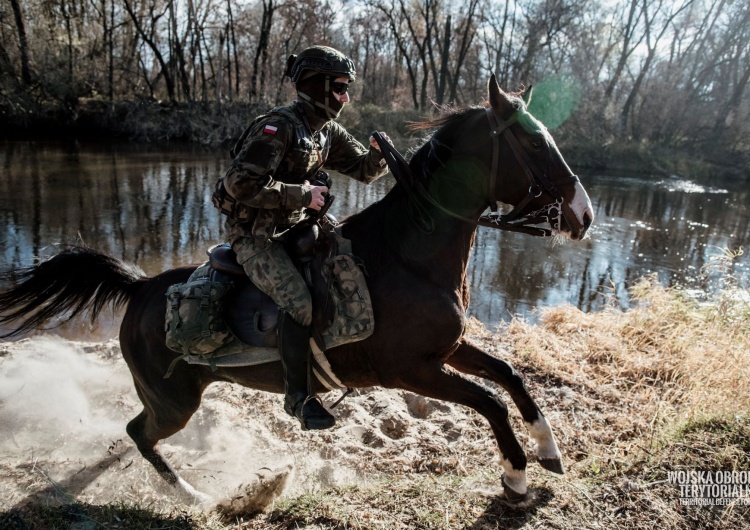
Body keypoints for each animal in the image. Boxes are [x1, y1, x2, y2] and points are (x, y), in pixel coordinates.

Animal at [0, 75, 592, 504]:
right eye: (535, 141)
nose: (584, 215)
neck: (409, 257)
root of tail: (140, 288)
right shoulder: (412, 370)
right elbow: (490, 402)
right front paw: (516, 477)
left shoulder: (448, 349)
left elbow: (510, 376)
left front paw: (548, 449)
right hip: (174, 401)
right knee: (140, 433)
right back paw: (196, 496)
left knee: (136, 432)